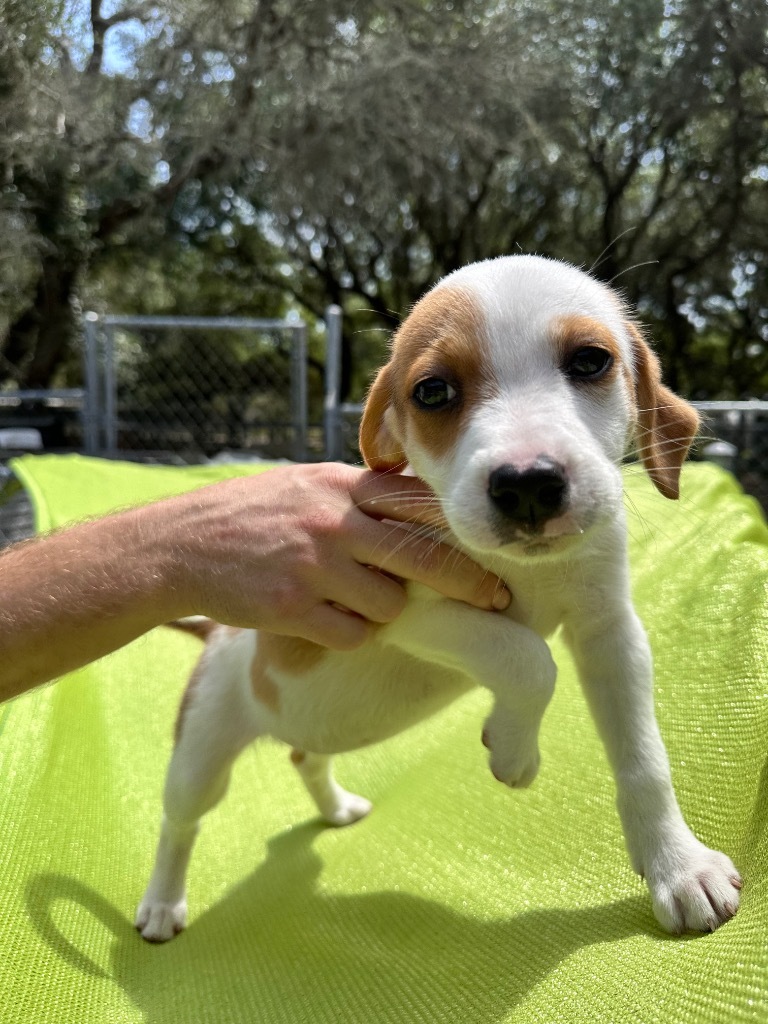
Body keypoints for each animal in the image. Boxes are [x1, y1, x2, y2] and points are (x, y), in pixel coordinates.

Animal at [135, 256, 741, 942]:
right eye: (432, 392)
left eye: (591, 360)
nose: (528, 485)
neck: (526, 571)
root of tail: (218, 634)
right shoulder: (403, 610)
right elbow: (528, 657)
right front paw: (514, 749)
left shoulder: (610, 634)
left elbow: (644, 758)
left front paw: (680, 866)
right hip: (200, 756)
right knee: (178, 824)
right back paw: (161, 903)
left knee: (305, 756)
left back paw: (336, 807)